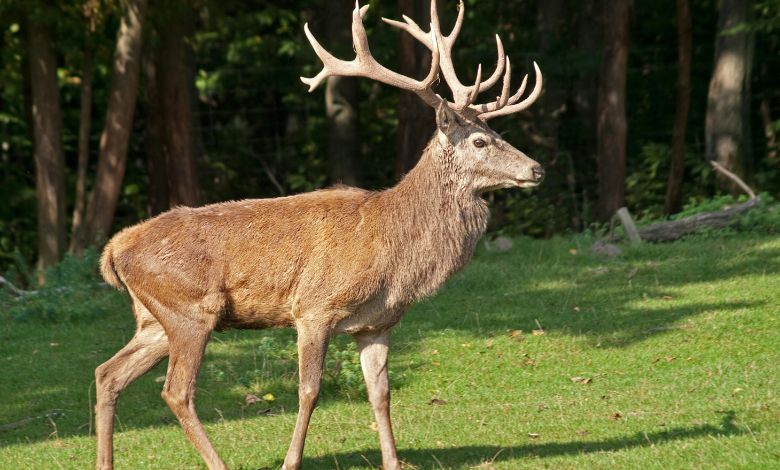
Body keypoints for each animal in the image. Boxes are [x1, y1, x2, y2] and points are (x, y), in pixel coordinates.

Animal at [94, 1, 544, 469]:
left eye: (498, 134)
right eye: (479, 141)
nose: (536, 169)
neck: (394, 250)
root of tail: (113, 249)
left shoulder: (377, 324)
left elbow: (380, 394)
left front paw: (392, 460)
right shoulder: (313, 307)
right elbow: (309, 391)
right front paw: (291, 460)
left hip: (154, 319)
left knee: (107, 373)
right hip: (191, 309)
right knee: (177, 391)